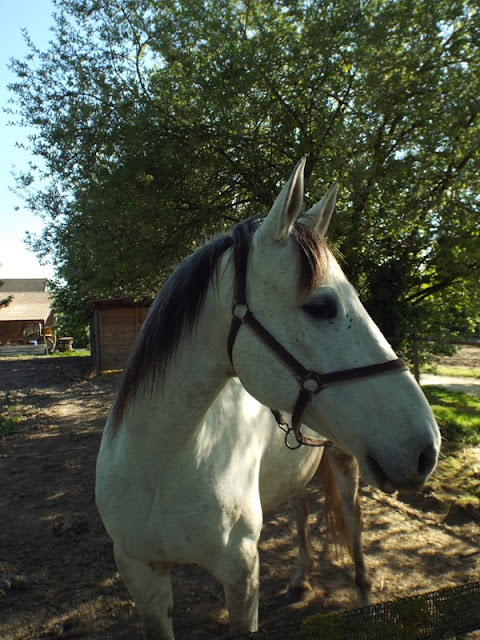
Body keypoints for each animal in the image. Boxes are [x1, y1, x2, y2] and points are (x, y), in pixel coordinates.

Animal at [95, 158, 440, 636]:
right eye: (321, 306)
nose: (427, 448)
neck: (162, 464)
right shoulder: (140, 574)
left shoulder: (241, 573)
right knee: (300, 509)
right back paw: (300, 579)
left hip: (346, 459)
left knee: (352, 519)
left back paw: (363, 590)